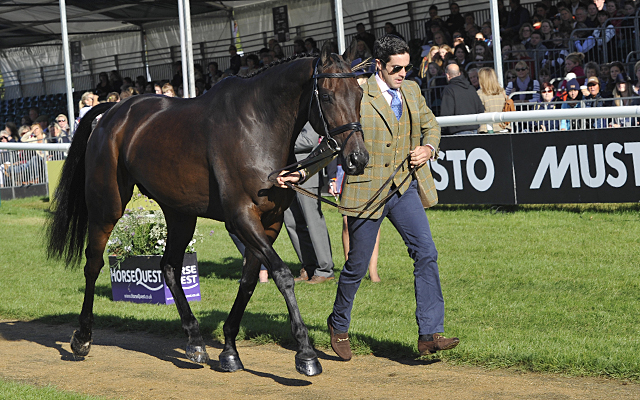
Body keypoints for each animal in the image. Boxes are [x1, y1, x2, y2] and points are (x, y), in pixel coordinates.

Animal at [46, 45, 370, 376]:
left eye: (359, 94)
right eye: (327, 96)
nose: (357, 158)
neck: (257, 126)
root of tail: (112, 112)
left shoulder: (270, 223)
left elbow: (248, 282)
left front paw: (229, 350)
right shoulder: (241, 218)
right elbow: (282, 274)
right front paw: (305, 353)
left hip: (180, 213)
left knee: (169, 267)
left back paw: (194, 341)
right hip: (106, 207)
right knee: (93, 264)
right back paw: (82, 337)